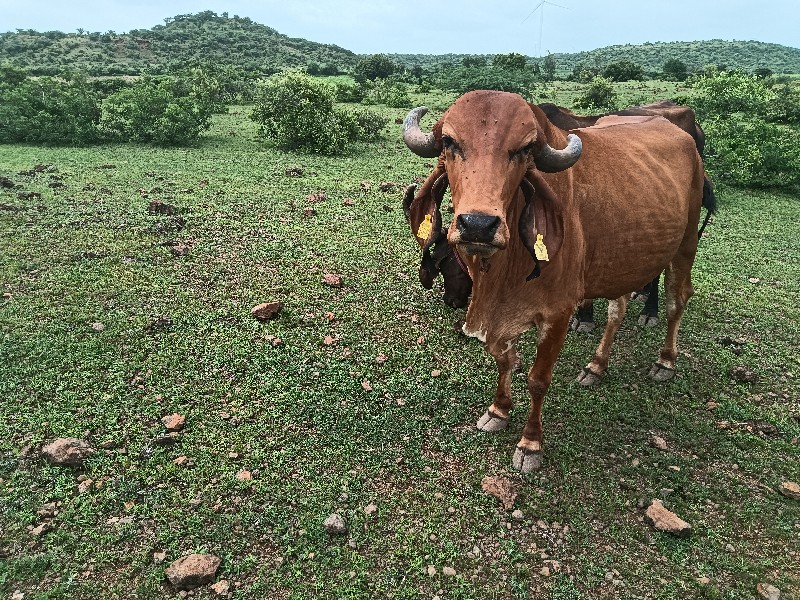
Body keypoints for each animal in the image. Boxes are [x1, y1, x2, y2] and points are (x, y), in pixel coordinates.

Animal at [404, 89, 704, 474]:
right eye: (449, 142)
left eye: (524, 149)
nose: (478, 225)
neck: (505, 268)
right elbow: (504, 360)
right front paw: (498, 410)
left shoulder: (559, 313)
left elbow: (537, 379)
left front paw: (530, 443)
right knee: (617, 310)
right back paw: (596, 365)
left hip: (685, 245)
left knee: (676, 301)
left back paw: (665, 361)